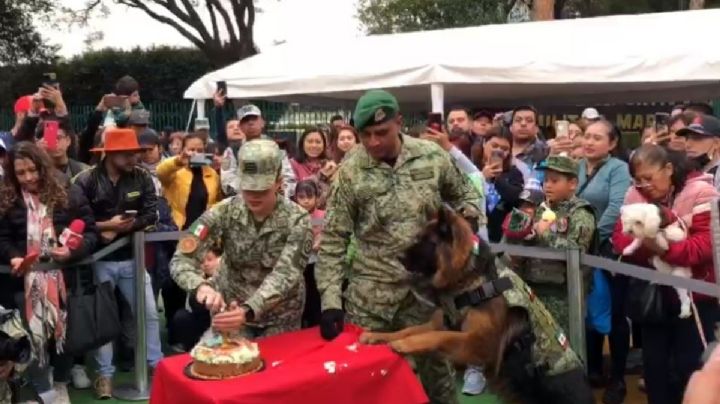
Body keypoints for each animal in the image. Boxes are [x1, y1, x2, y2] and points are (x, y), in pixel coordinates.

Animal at [358, 207, 592, 402]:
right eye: (417, 238)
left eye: (426, 242)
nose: (397, 256)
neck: (468, 277)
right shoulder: (440, 324)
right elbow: (409, 330)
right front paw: (377, 336)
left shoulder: (479, 344)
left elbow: (436, 336)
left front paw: (404, 344)